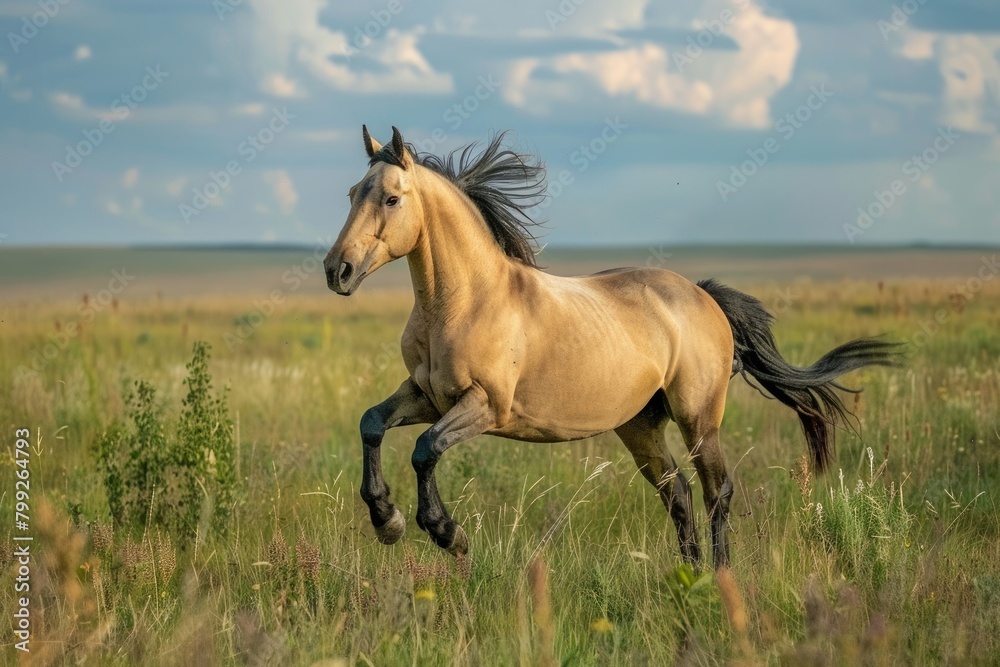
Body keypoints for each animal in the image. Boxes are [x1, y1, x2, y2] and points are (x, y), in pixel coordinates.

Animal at [324, 124, 904, 568]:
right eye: (351, 193)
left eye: (391, 198)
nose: (337, 271)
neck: (465, 302)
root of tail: (703, 296)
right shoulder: (426, 396)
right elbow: (372, 423)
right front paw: (387, 520)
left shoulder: (485, 406)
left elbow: (426, 449)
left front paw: (447, 533)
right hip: (640, 427)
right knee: (678, 494)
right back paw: (690, 574)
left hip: (698, 418)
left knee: (716, 492)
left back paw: (721, 577)